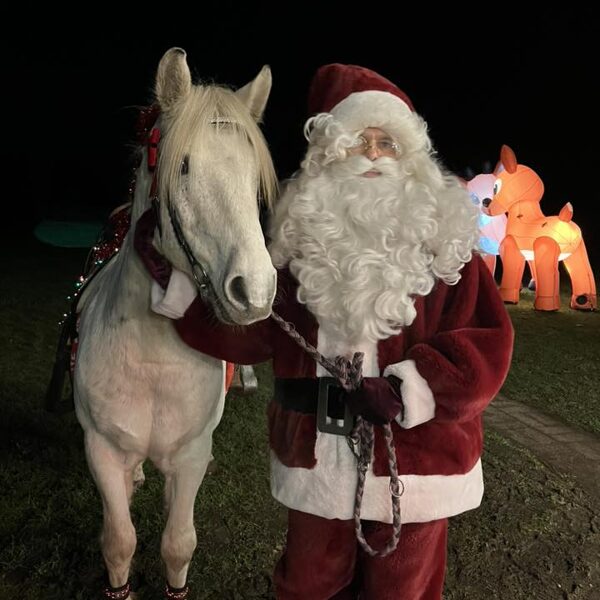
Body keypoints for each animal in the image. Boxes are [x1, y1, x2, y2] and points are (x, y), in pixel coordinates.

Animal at [72, 47, 278, 599]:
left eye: (254, 180)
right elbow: (118, 541)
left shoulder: (187, 457)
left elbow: (178, 544)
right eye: (182, 166)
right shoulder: (101, 451)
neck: (152, 359)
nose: (254, 290)